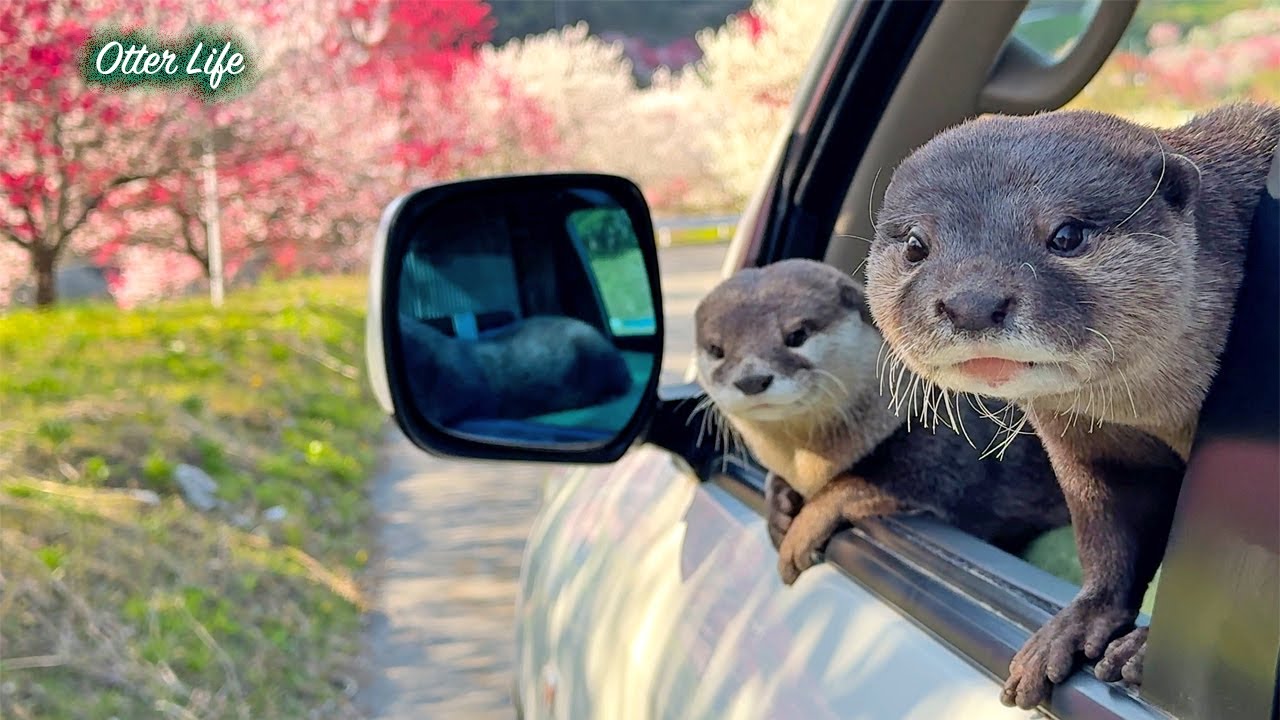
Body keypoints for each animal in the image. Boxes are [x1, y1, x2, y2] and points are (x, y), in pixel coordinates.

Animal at [693, 258, 1068, 584]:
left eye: (796, 335)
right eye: (716, 349)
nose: (752, 379)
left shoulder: (944, 454)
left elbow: (854, 482)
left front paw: (800, 534)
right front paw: (778, 509)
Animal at [863, 102, 1280, 709]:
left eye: (1066, 234)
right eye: (917, 245)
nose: (972, 302)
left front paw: (1144, 650)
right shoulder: (1090, 447)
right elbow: (1109, 535)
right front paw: (1073, 627)